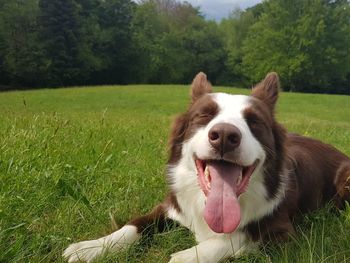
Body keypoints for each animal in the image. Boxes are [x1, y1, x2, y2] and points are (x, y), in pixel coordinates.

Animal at [63, 72, 350, 263]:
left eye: (254, 121)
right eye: (204, 115)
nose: (224, 136)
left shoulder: (283, 232)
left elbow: (235, 238)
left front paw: (185, 255)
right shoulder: (171, 207)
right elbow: (134, 225)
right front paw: (93, 247)